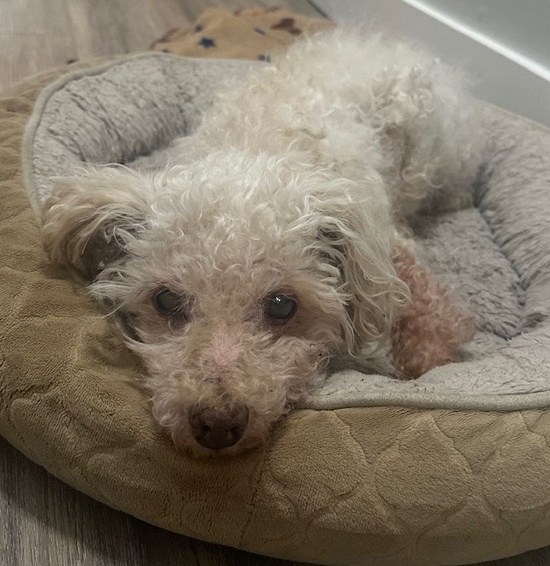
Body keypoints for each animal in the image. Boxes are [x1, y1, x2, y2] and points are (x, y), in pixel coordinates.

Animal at [42, 30, 477, 457]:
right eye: (165, 300)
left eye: (282, 305)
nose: (217, 426)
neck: (258, 152)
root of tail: (385, 43)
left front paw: (429, 356)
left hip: (424, 157)